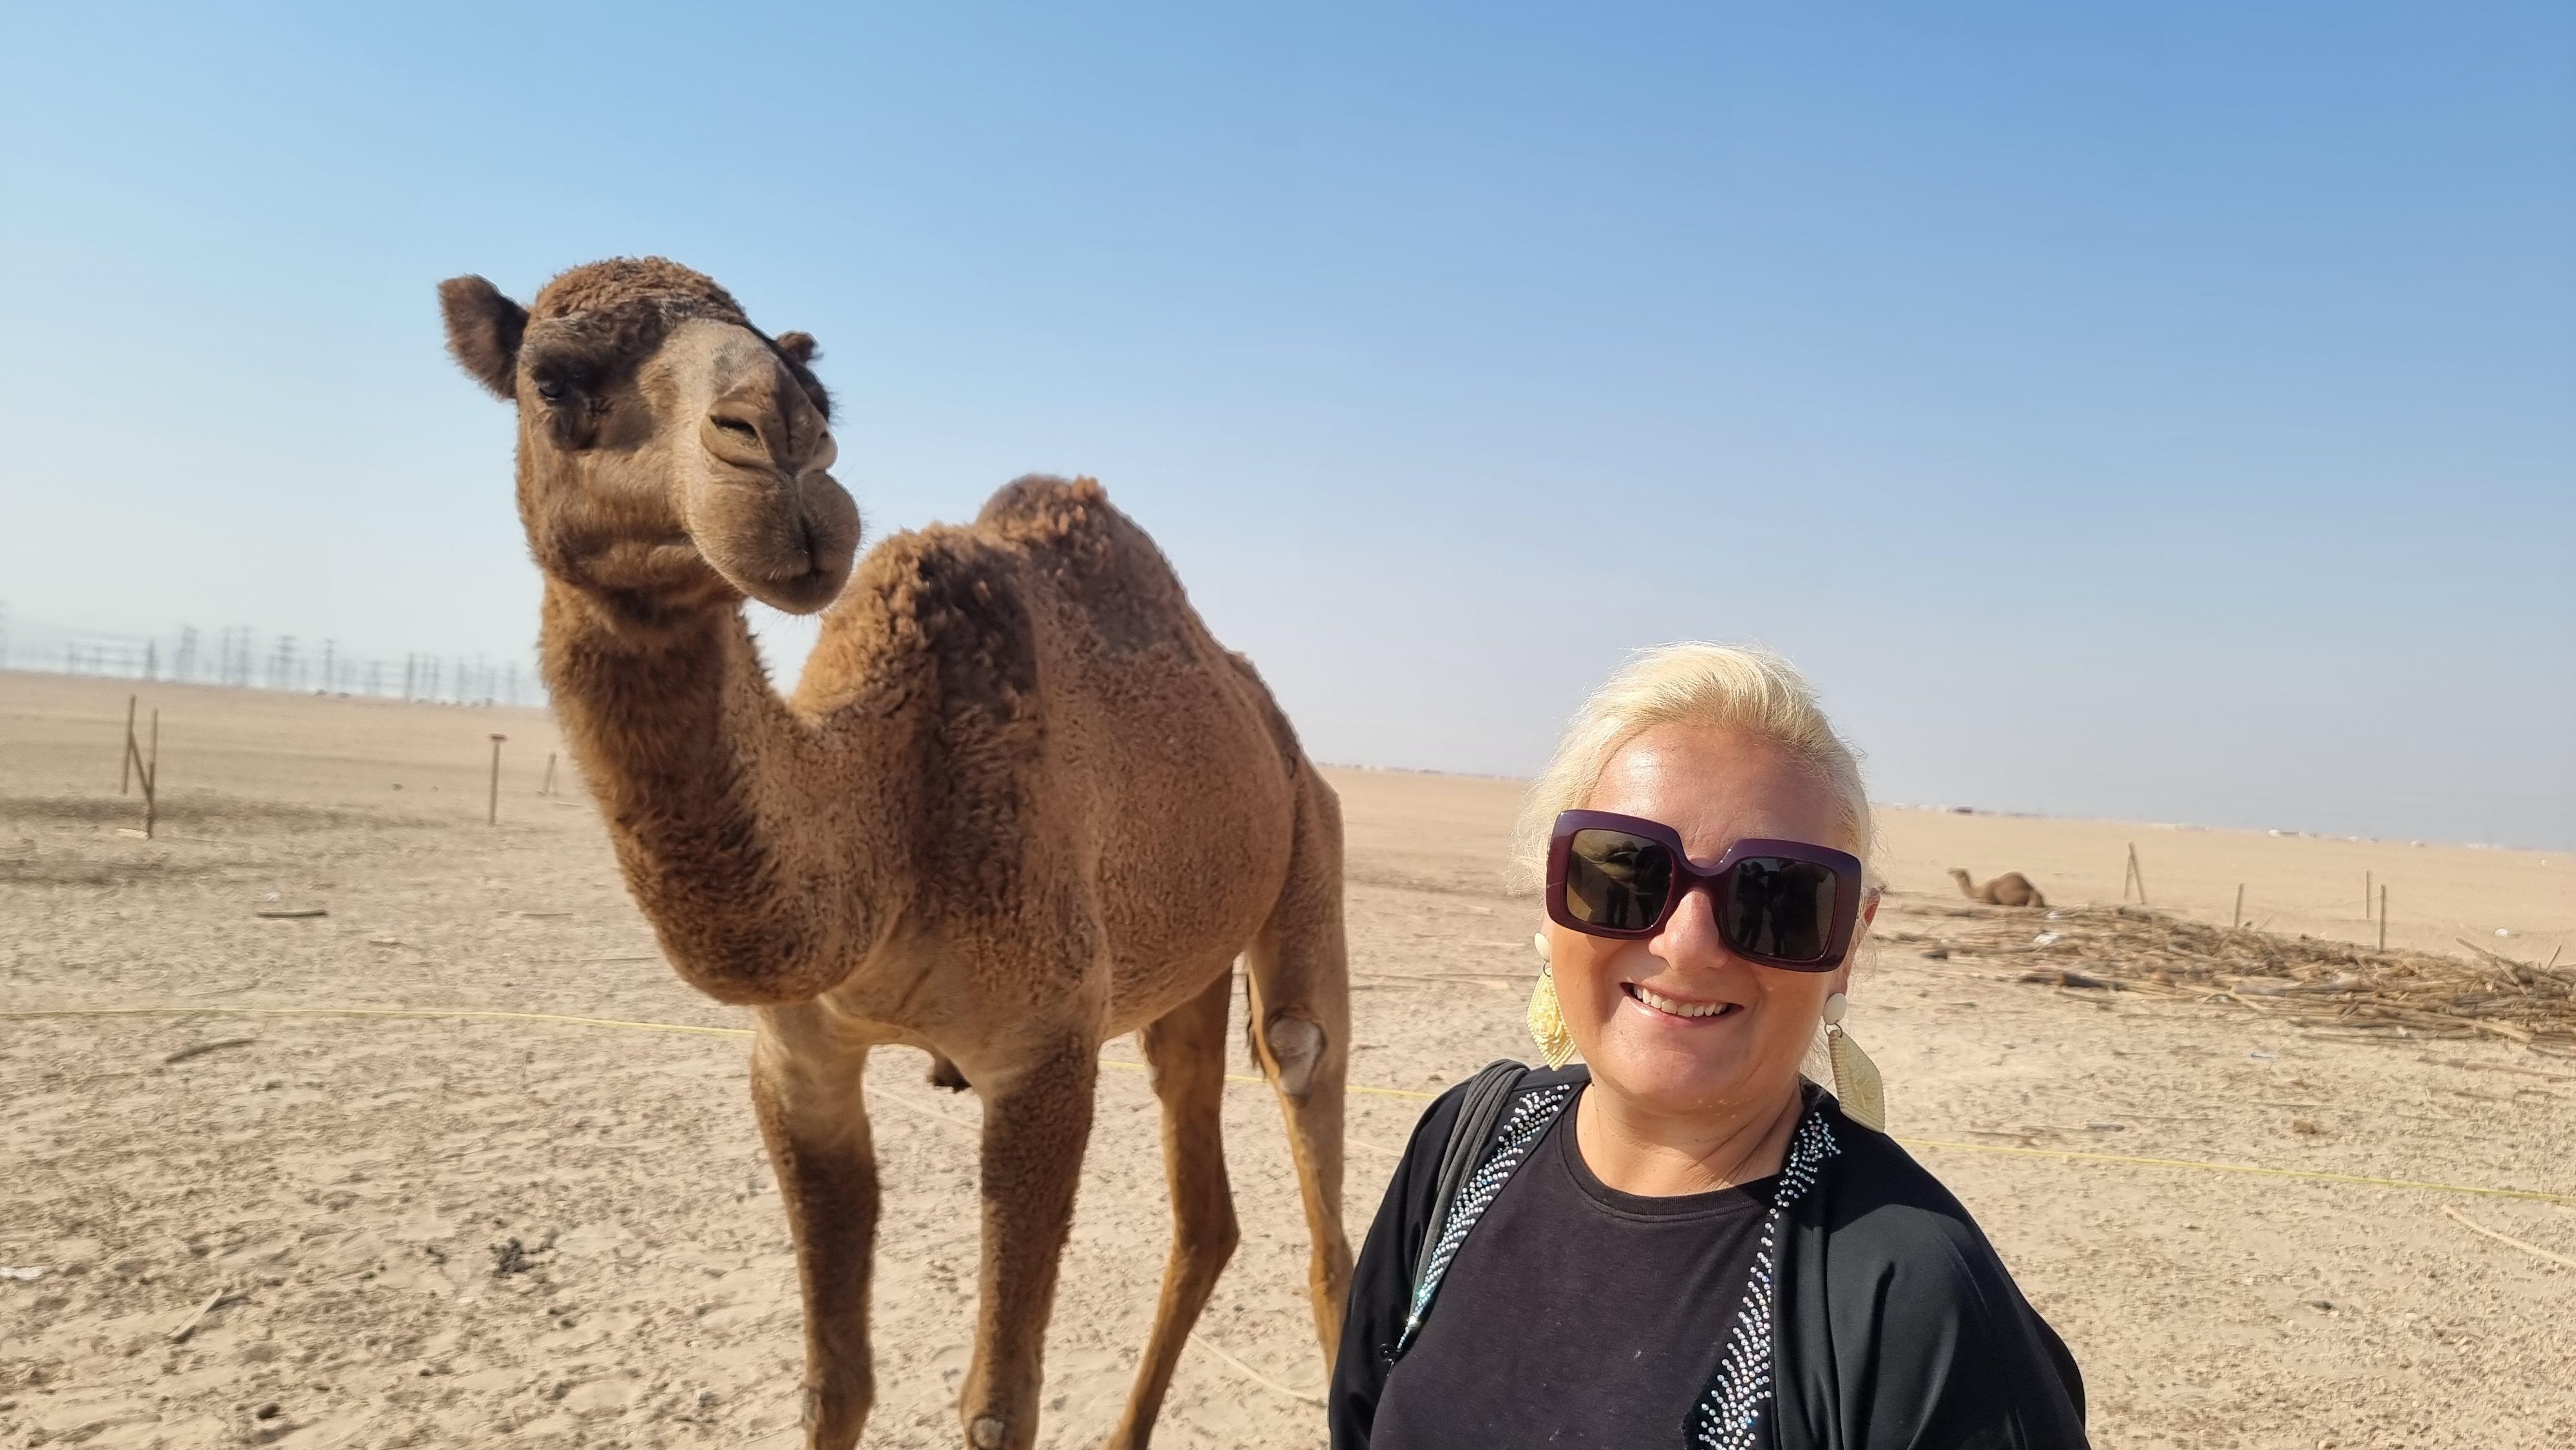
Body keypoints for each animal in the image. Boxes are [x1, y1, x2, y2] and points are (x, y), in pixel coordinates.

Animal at [436, 258, 1350, 1450]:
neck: (894, 816)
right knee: (1205, 1215)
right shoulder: (800, 1061)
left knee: (1310, 1125)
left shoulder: (1045, 1052)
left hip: (1310, 849)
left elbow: (999, 1403)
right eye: (552, 379)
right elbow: (835, 1382)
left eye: (814, 385)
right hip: (1182, 969)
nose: (782, 443)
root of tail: (1272, 723)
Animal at [1950, 867, 2048, 909]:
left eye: (1956, 871)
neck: (1979, 890)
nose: (1949, 870)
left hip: (2033, 896)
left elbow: (1979, 901)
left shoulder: (1989, 899)